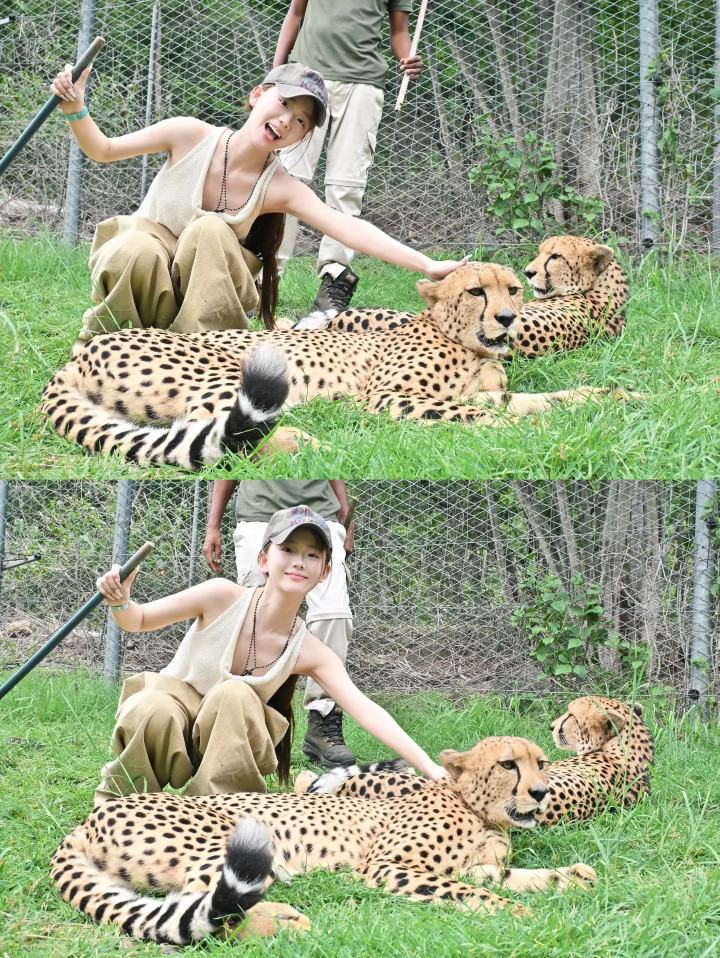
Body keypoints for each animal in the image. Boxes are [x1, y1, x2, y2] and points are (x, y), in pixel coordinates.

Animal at [41, 260, 633, 469]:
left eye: (512, 288)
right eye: (475, 291)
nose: (509, 318)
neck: (470, 345)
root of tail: (81, 351)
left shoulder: (494, 389)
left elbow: (543, 400)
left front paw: (613, 398)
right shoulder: (391, 396)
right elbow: (482, 416)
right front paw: (539, 438)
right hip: (227, 372)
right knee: (233, 435)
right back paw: (320, 446)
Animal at [50, 735, 596, 945]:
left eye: (542, 762)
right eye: (508, 765)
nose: (542, 792)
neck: (482, 814)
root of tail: (88, 818)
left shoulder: (480, 865)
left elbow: (513, 876)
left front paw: (572, 878)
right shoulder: (387, 867)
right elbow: (473, 892)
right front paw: (519, 915)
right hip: (228, 840)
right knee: (212, 906)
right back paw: (283, 921)